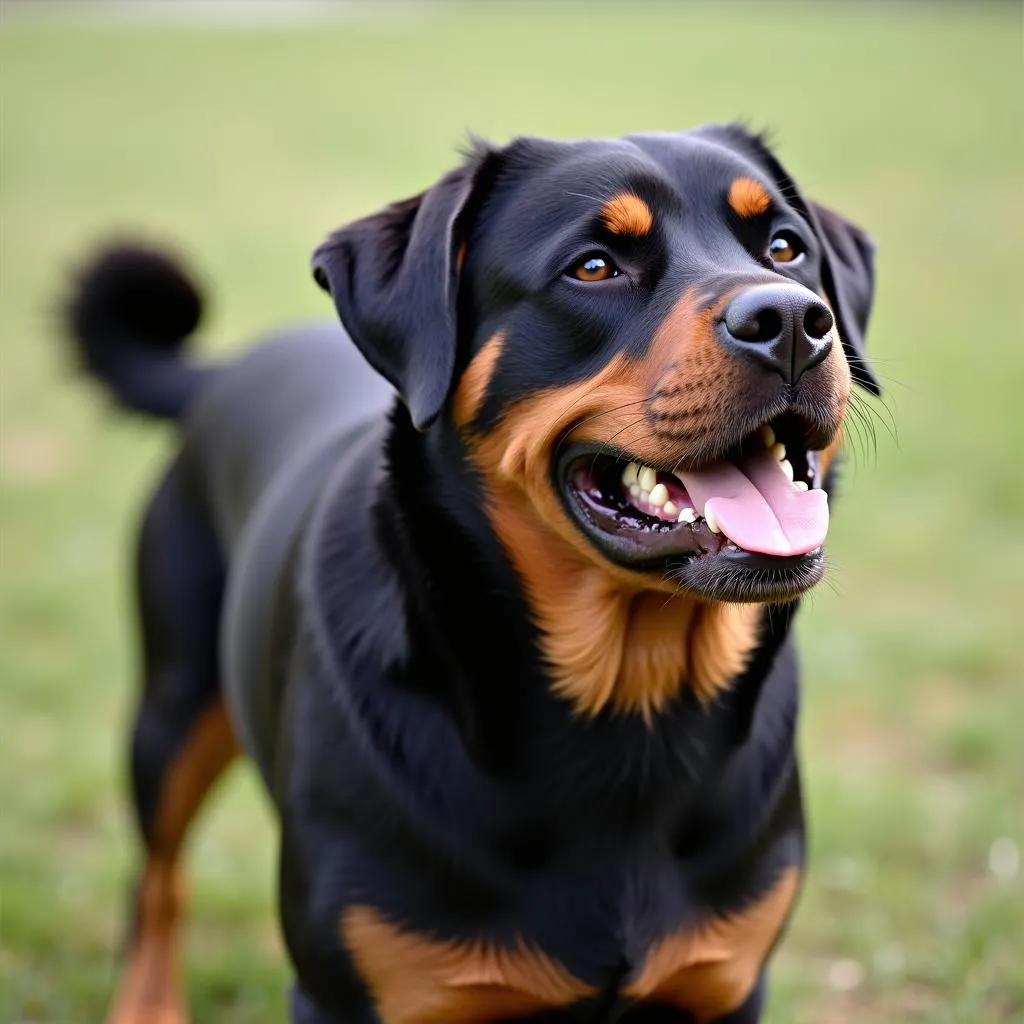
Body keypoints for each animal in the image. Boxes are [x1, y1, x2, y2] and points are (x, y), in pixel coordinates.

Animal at [66, 125, 880, 1024]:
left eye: (786, 249)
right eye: (594, 266)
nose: (792, 321)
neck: (629, 708)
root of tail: (222, 370)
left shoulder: (723, 985)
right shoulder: (348, 990)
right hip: (171, 706)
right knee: (157, 882)